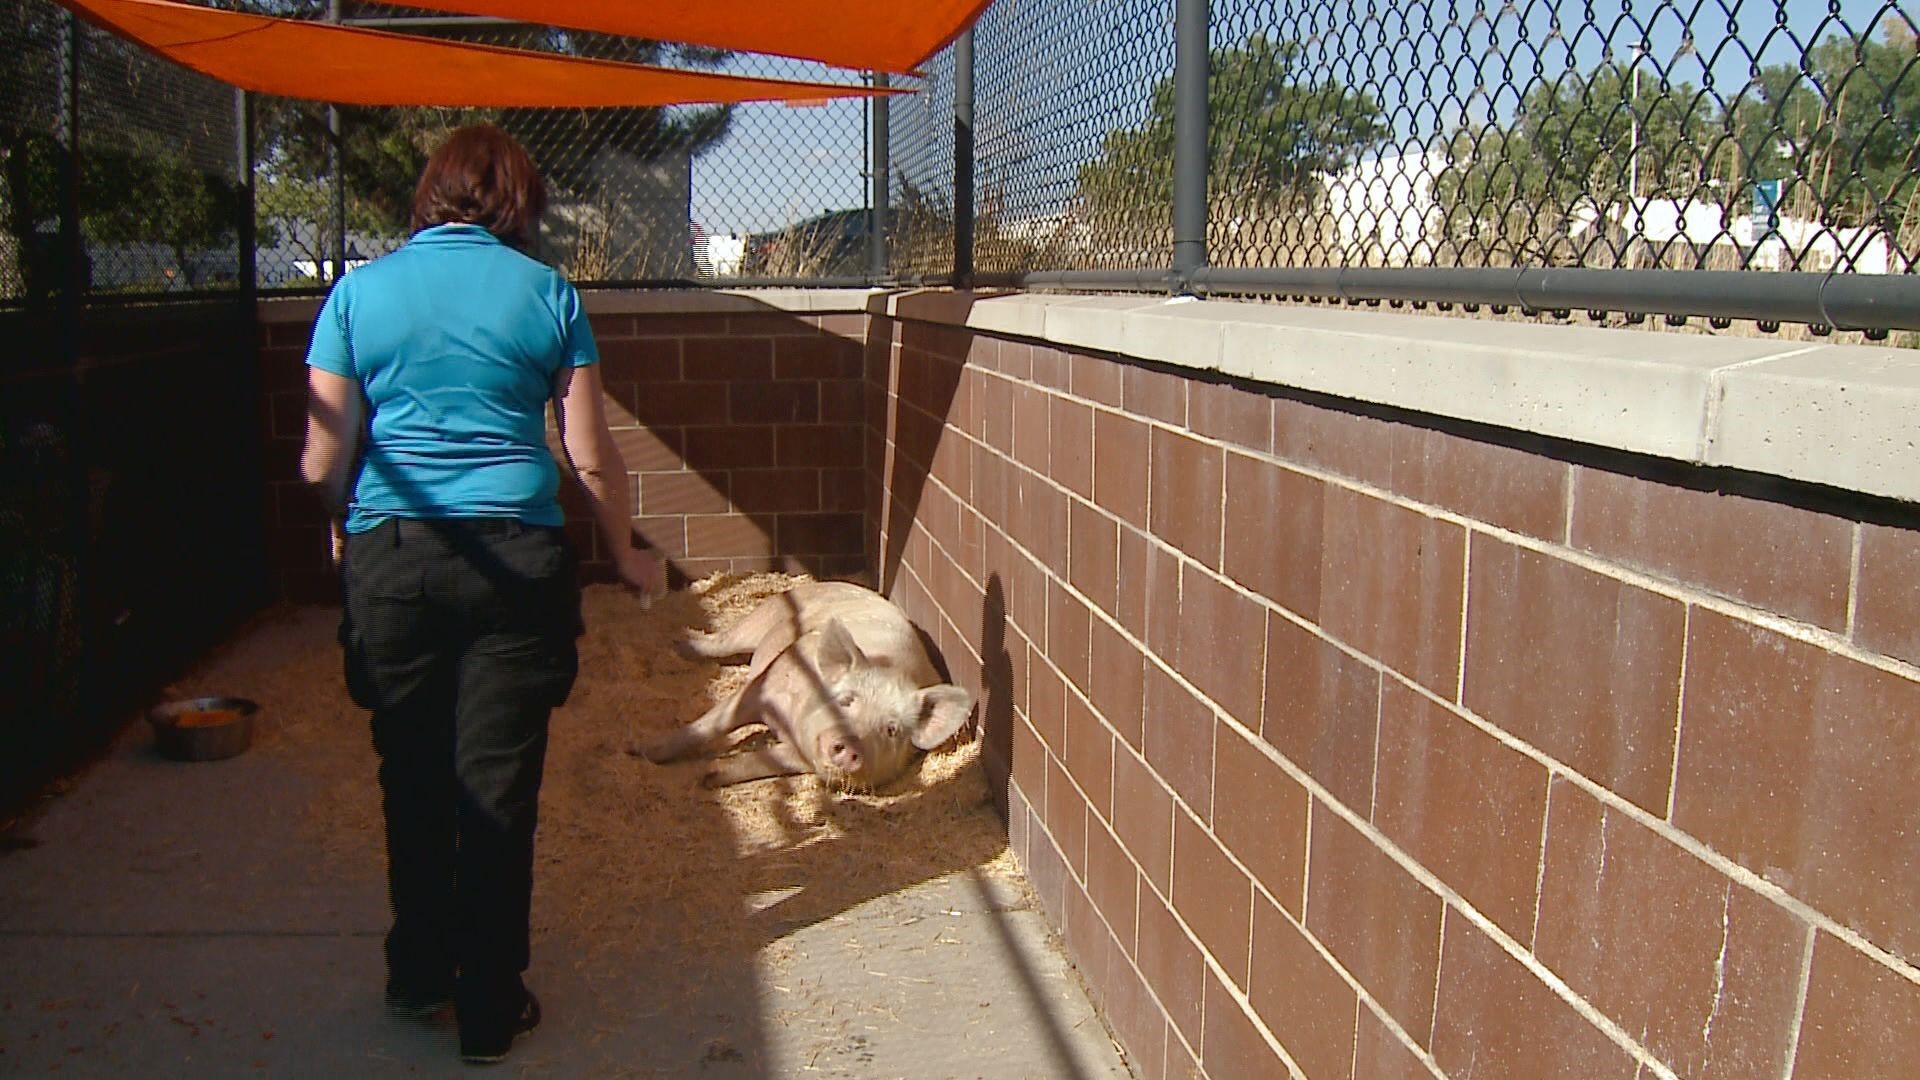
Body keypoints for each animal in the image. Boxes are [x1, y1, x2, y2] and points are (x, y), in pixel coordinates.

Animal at [637, 580, 975, 791]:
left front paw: (709, 777)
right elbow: (709, 725)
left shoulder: (799, 755)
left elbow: (764, 761)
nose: (851, 745)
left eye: (892, 729)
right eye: (846, 700)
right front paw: (639, 751)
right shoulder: (762, 687)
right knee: (722, 641)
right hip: (761, 619)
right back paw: (680, 646)